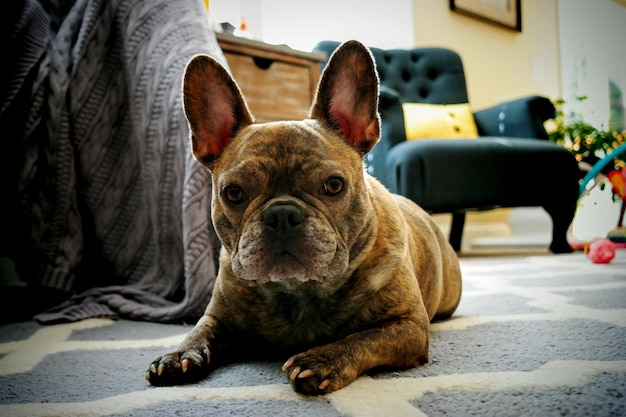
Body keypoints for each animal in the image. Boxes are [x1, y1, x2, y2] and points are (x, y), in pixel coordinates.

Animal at [145, 39, 458, 394]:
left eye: (334, 185)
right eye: (234, 193)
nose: (282, 214)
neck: (297, 291)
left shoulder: (409, 326)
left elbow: (363, 338)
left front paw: (321, 360)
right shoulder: (218, 317)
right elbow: (199, 330)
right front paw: (178, 354)